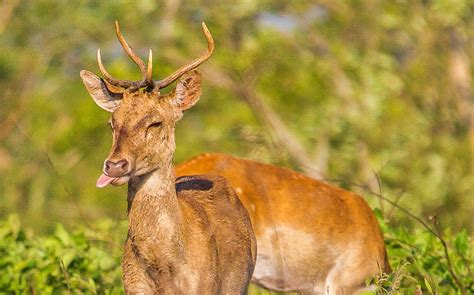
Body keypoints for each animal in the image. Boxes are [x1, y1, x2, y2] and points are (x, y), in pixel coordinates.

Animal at [80, 22, 258, 294]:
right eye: (112, 123)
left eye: (155, 122)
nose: (115, 165)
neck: (165, 269)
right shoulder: (133, 286)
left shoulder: (205, 286)